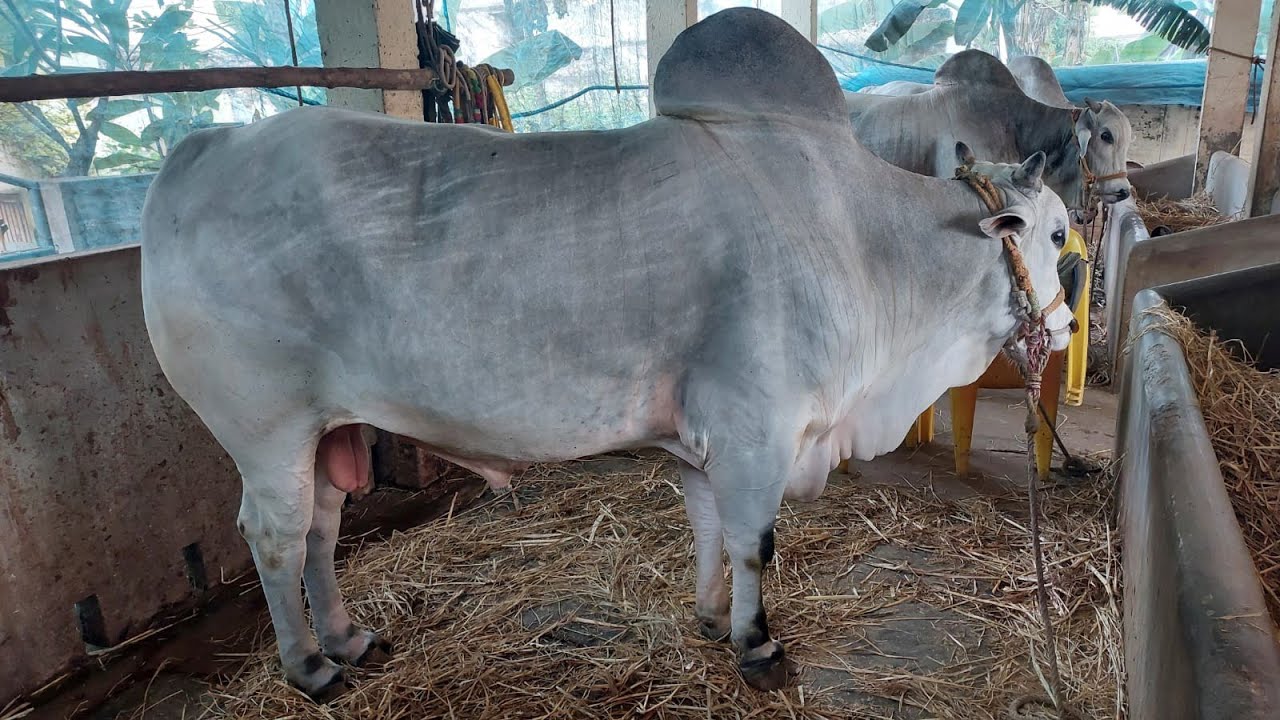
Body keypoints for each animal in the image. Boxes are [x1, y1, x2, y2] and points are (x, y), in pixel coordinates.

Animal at [140, 7, 1074, 701]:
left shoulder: (705, 443)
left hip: (329, 428)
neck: (857, 235)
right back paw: (310, 667)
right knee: (273, 535)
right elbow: (753, 542)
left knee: (321, 529)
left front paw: (711, 619)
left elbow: (709, 531)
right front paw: (758, 646)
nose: (1064, 325)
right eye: (1061, 232)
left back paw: (348, 638)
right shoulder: (757, 430)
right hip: (264, 428)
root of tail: (196, 151)